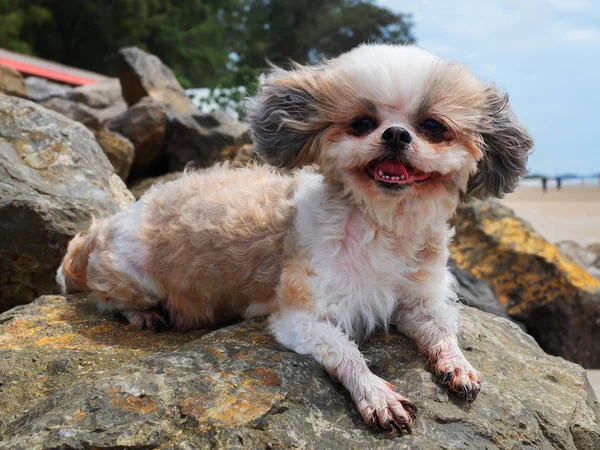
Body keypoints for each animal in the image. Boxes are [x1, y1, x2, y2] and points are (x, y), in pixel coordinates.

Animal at [57, 44, 536, 432]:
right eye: (363, 123)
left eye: (433, 127)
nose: (396, 133)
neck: (383, 224)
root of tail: (108, 225)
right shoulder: (301, 317)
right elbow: (346, 353)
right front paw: (375, 393)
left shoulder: (417, 299)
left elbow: (441, 331)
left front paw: (458, 364)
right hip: (132, 276)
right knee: (106, 300)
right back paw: (142, 315)